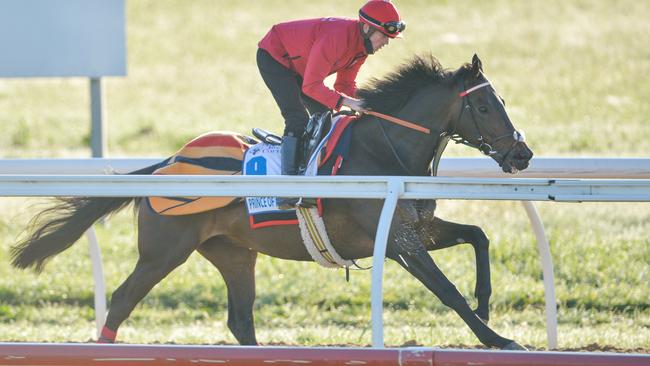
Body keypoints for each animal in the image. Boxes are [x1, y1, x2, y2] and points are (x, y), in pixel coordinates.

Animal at [10, 53, 532, 348]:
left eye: (503, 102)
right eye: (483, 106)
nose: (522, 154)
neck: (385, 152)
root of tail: (164, 164)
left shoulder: (417, 229)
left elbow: (478, 237)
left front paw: (487, 304)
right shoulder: (397, 242)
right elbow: (446, 289)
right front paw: (500, 339)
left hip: (234, 254)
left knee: (240, 320)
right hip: (164, 252)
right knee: (120, 301)